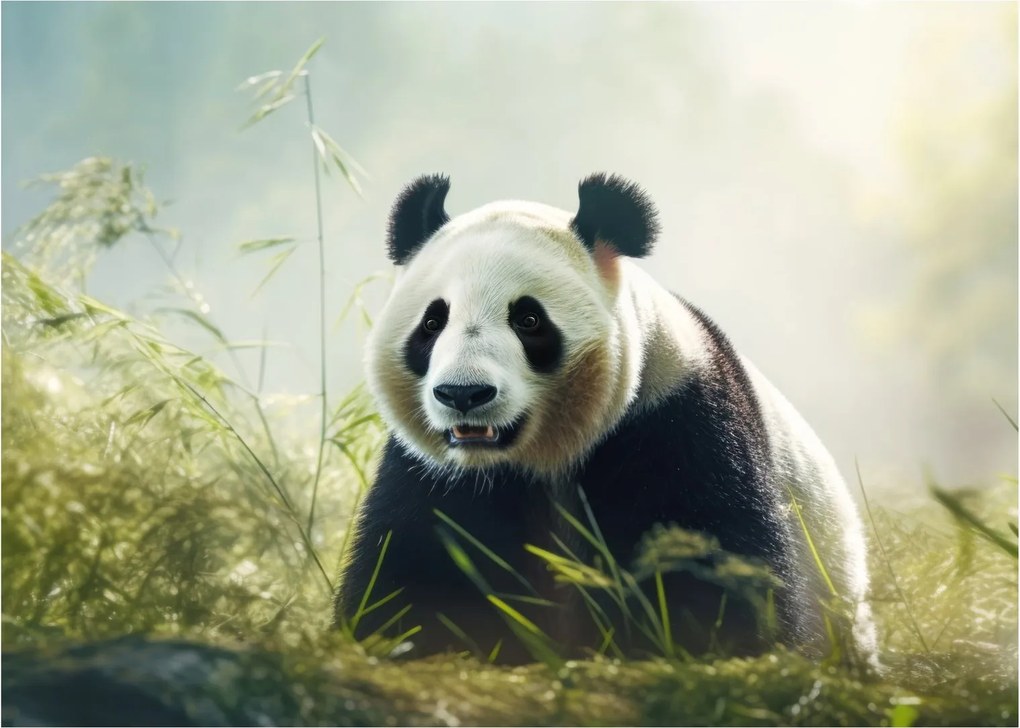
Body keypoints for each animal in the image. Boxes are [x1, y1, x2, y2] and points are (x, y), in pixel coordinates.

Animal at [332, 172, 877, 665]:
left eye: (528, 320)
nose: (463, 394)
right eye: (432, 321)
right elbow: (414, 573)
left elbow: (712, 569)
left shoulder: (677, 421)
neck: (542, 455)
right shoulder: (436, 475)